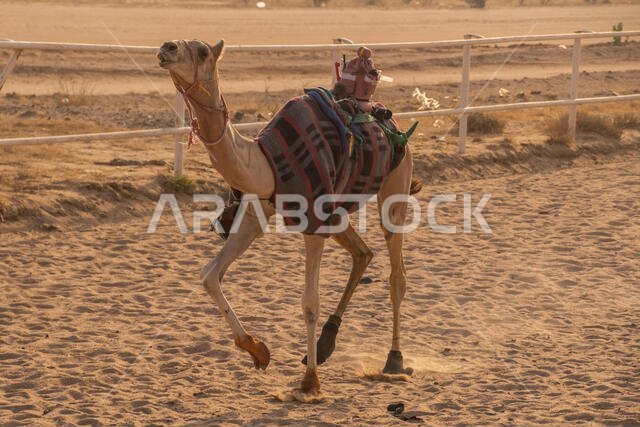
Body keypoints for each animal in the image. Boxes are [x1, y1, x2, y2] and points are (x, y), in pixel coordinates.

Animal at [158, 39, 415, 400]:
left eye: (203, 51)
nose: (166, 48)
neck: (265, 161)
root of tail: (392, 122)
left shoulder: (314, 221)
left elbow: (309, 302)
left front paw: (309, 383)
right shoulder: (258, 210)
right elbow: (210, 275)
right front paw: (257, 350)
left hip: (396, 182)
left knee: (396, 275)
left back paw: (394, 360)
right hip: (338, 210)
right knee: (363, 253)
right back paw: (324, 346)